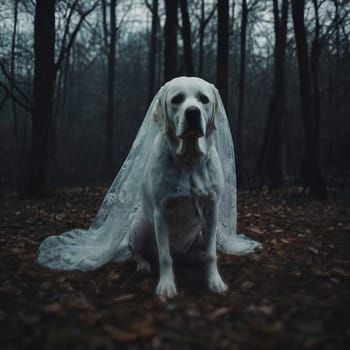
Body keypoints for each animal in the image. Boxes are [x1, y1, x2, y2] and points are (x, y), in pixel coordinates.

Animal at [129, 77, 227, 298]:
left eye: (204, 99)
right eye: (177, 99)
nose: (192, 112)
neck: (189, 159)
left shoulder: (212, 210)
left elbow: (212, 255)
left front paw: (215, 281)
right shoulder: (160, 212)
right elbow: (165, 257)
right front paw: (166, 285)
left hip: (201, 233)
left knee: (197, 253)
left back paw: (196, 258)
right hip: (139, 226)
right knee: (138, 253)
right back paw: (143, 264)